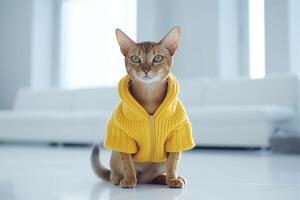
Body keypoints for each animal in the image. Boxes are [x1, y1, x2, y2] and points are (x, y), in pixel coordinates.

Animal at [91, 26, 195, 188]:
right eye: (135, 59)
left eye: (158, 58)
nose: (146, 69)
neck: (149, 96)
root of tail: (143, 179)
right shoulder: (124, 138)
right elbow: (127, 163)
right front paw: (128, 179)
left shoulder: (176, 135)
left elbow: (173, 163)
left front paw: (172, 179)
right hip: (115, 154)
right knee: (114, 172)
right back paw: (118, 178)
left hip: (158, 165)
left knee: (152, 177)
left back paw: (163, 179)